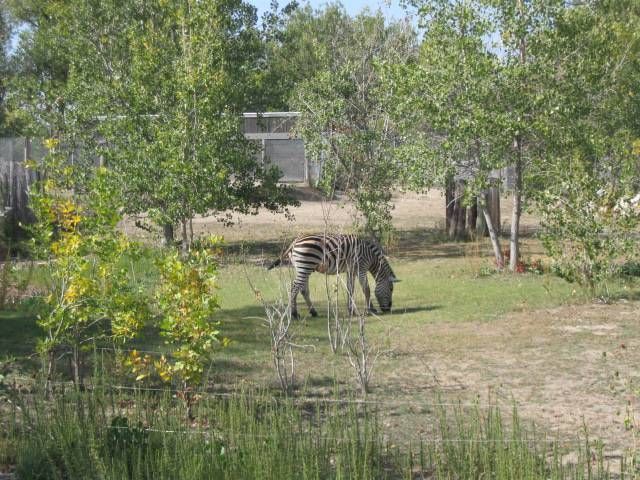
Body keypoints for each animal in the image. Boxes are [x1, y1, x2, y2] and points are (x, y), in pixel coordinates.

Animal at [267, 233, 399, 319]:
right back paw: (294, 314)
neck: (371, 257)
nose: (388, 309)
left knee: (303, 289)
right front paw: (370, 310)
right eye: (391, 289)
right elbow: (366, 289)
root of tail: (294, 242)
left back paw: (313, 312)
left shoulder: (351, 270)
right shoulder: (361, 267)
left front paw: (351, 311)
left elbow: (350, 289)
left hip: (302, 267)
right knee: (294, 287)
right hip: (305, 265)